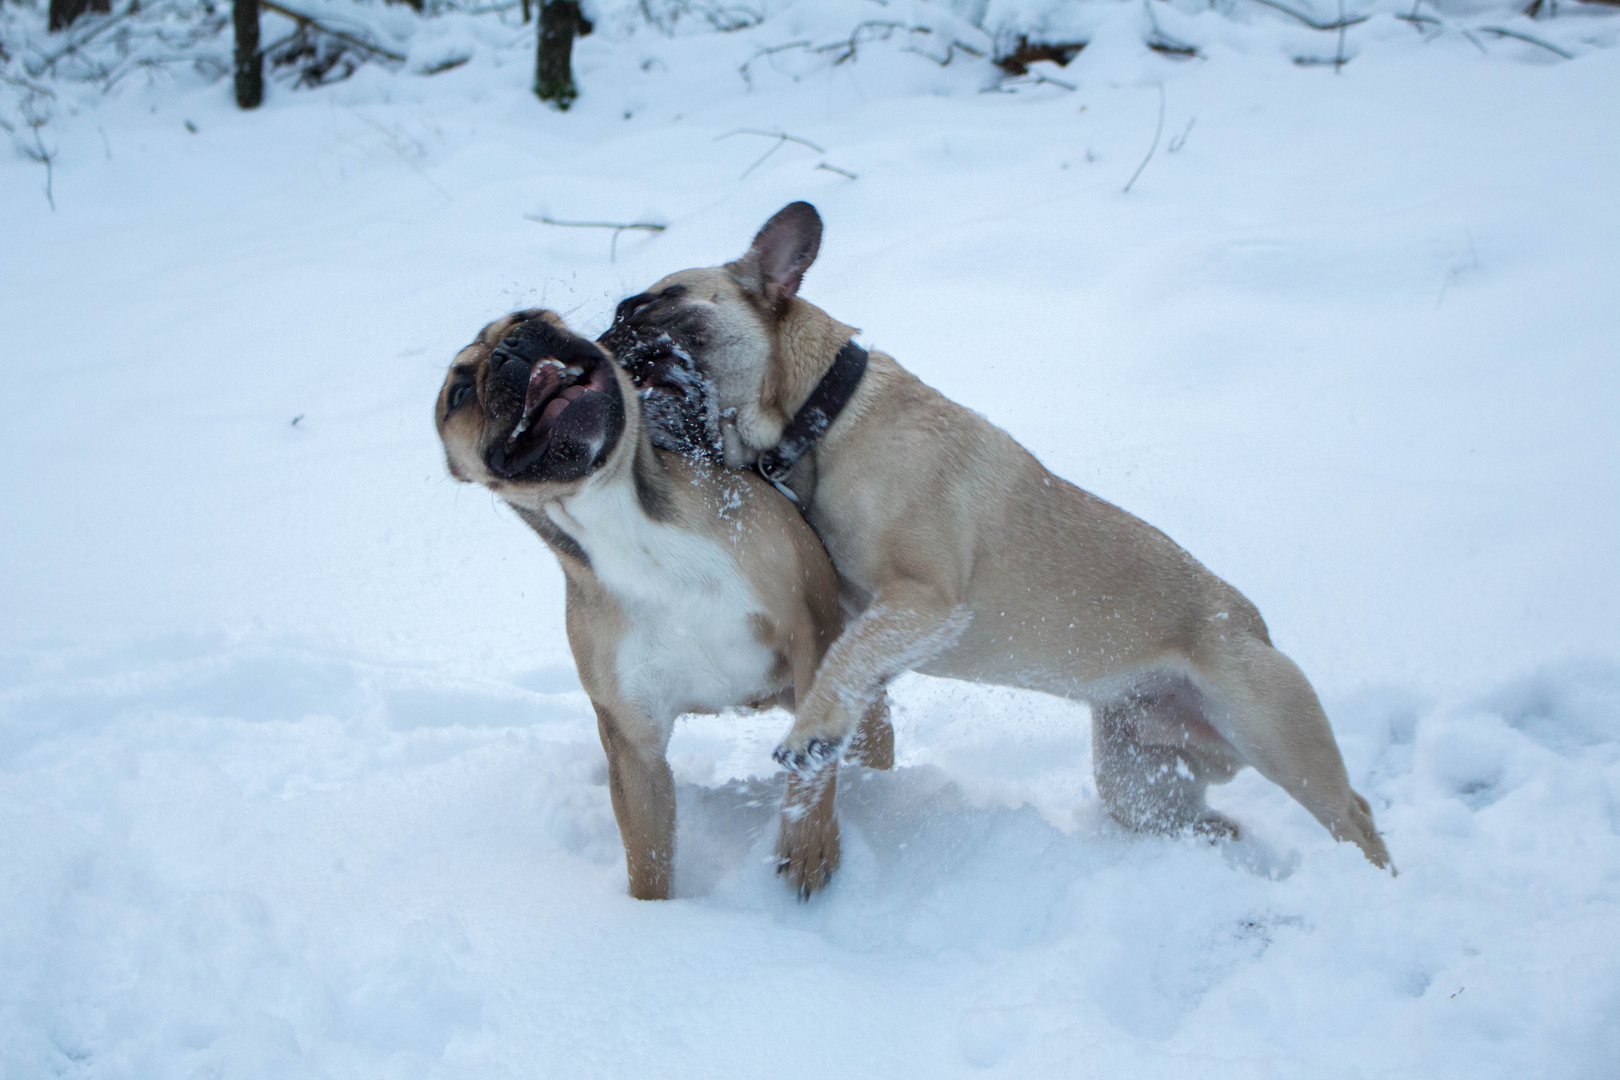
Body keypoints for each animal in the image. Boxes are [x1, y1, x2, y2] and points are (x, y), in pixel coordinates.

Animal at [437, 307, 894, 900]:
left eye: (532, 318)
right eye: (458, 392)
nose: (510, 346)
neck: (622, 519)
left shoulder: (810, 637)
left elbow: (811, 766)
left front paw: (808, 845)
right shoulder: (635, 743)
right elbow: (647, 853)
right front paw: (655, 918)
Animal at [602, 207, 1399, 874]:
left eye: (653, 302)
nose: (607, 333)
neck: (822, 416)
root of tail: (1253, 622)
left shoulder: (925, 597)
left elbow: (847, 658)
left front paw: (811, 733)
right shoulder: (870, 608)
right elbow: (854, 661)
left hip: (1277, 737)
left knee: (1353, 815)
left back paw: (1369, 885)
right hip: (1138, 777)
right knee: (1203, 820)